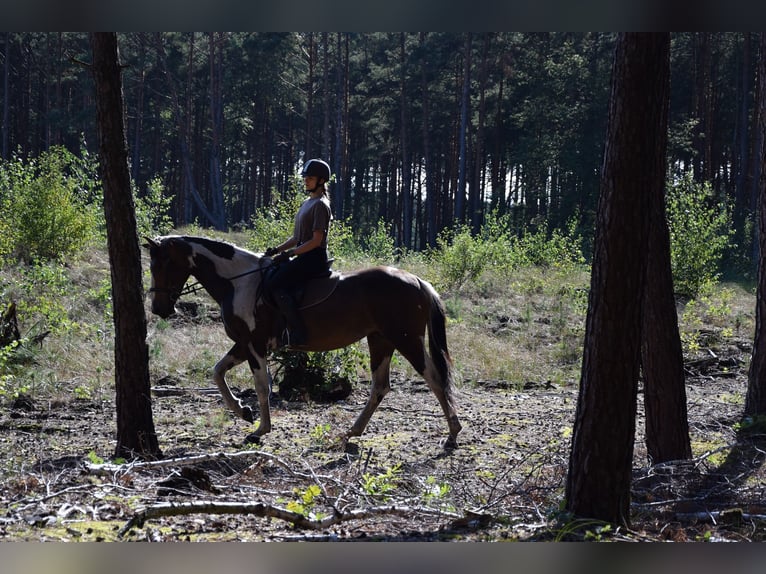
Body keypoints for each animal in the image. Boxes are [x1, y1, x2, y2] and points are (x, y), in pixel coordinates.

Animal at [143, 235, 462, 449]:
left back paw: (452, 433)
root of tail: (417, 281)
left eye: (164, 264)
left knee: (434, 378)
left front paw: (259, 429)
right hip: (380, 340)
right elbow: (217, 372)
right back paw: (354, 431)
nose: (159, 308)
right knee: (381, 386)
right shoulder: (244, 344)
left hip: (405, 339)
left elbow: (261, 386)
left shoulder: (255, 344)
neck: (240, 282)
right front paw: (242, 411)